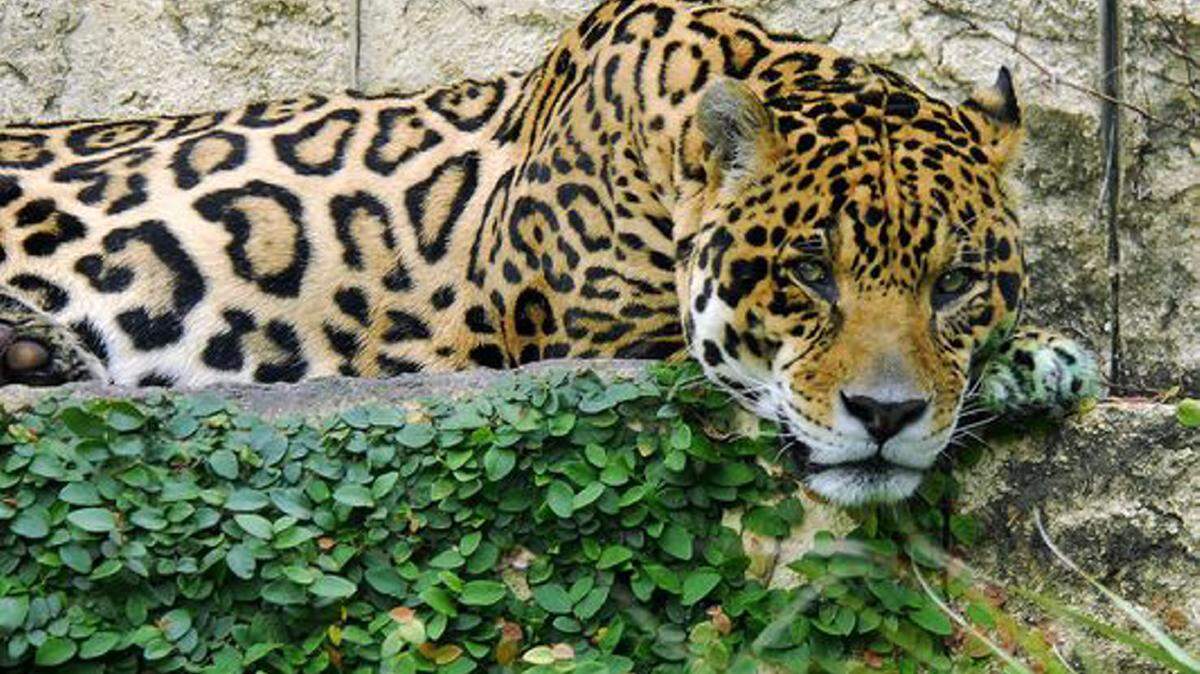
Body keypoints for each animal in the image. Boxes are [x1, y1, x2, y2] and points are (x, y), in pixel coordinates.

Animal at [0, 0, 1102, 504]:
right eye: (806, 272)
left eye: (956, 283)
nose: (885, 417)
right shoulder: (581, 337)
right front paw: (1035, 357)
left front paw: (1032, 354)